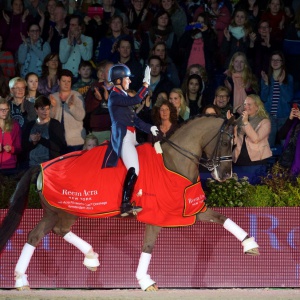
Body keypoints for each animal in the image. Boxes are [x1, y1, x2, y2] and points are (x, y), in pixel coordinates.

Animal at [0, 115, 258, 290]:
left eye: (236, 143)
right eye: (226, 142)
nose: (225, 175)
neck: (173, 161)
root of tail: (42, 165)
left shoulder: (191, 208)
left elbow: (222, 217)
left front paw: (250, 244)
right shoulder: (157, 215)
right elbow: (148, 246)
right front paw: (145, 281)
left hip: (56, 212)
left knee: (38, 235)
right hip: (66, 209)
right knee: (51, 232)